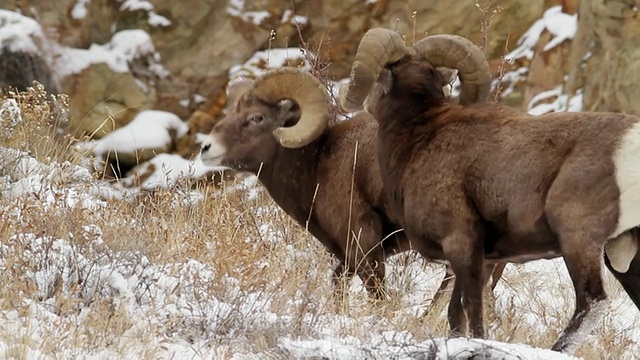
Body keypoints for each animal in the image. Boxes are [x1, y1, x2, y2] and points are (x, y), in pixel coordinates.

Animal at [340, 27, 640, 352]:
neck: (419, 135)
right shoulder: (481, 259)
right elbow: (456, 311)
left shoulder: (460, 243)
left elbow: (470, 306)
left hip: (578, 239)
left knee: (591, 302)